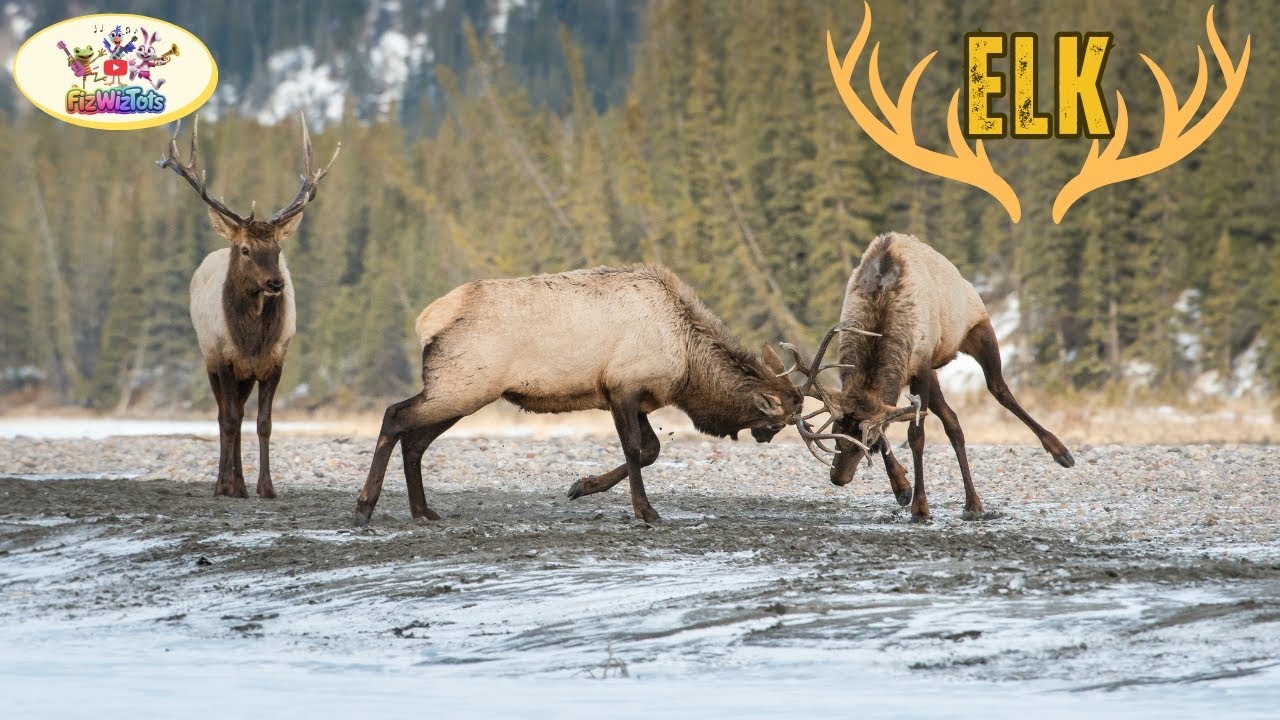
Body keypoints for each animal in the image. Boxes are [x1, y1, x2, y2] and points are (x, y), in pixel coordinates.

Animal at [157, 114, 339, 499]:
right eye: (245, 249)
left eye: (278, 249)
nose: (276, 283)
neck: (252, 340)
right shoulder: (225, 358)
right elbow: (228, 419)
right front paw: (227, 485)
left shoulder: (275, 362)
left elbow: (263, 422)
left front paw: (265, 487)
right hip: (209, 357)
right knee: (224, 414)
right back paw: (226, 483)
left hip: (244, 374)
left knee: (240, 412)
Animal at [352, 264, 806, 526]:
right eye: (778, 423)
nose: (764, 437)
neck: (687, 363)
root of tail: (427, 320)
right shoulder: (623, 386)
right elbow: (634, 450)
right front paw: (646, 511)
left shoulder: (630, 396)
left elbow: (650, 450)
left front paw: (580, 486)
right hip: (463, 386)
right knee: (395, 416)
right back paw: (364, 507)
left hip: (459, 390)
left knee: (415, 440)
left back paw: (423, 511)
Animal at [784, 233, 1074, 522]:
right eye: (835, 433)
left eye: (864, 446)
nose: (838, 478)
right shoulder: (904, 379)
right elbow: (888, 422)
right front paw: (902, 487)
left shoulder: (920, 367)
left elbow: (916, 436)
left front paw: (920, 507)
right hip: (936, 371)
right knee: (953, 421)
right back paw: (973, 502)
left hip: (979, 330)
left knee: (999, 389)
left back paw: (1061, 451)